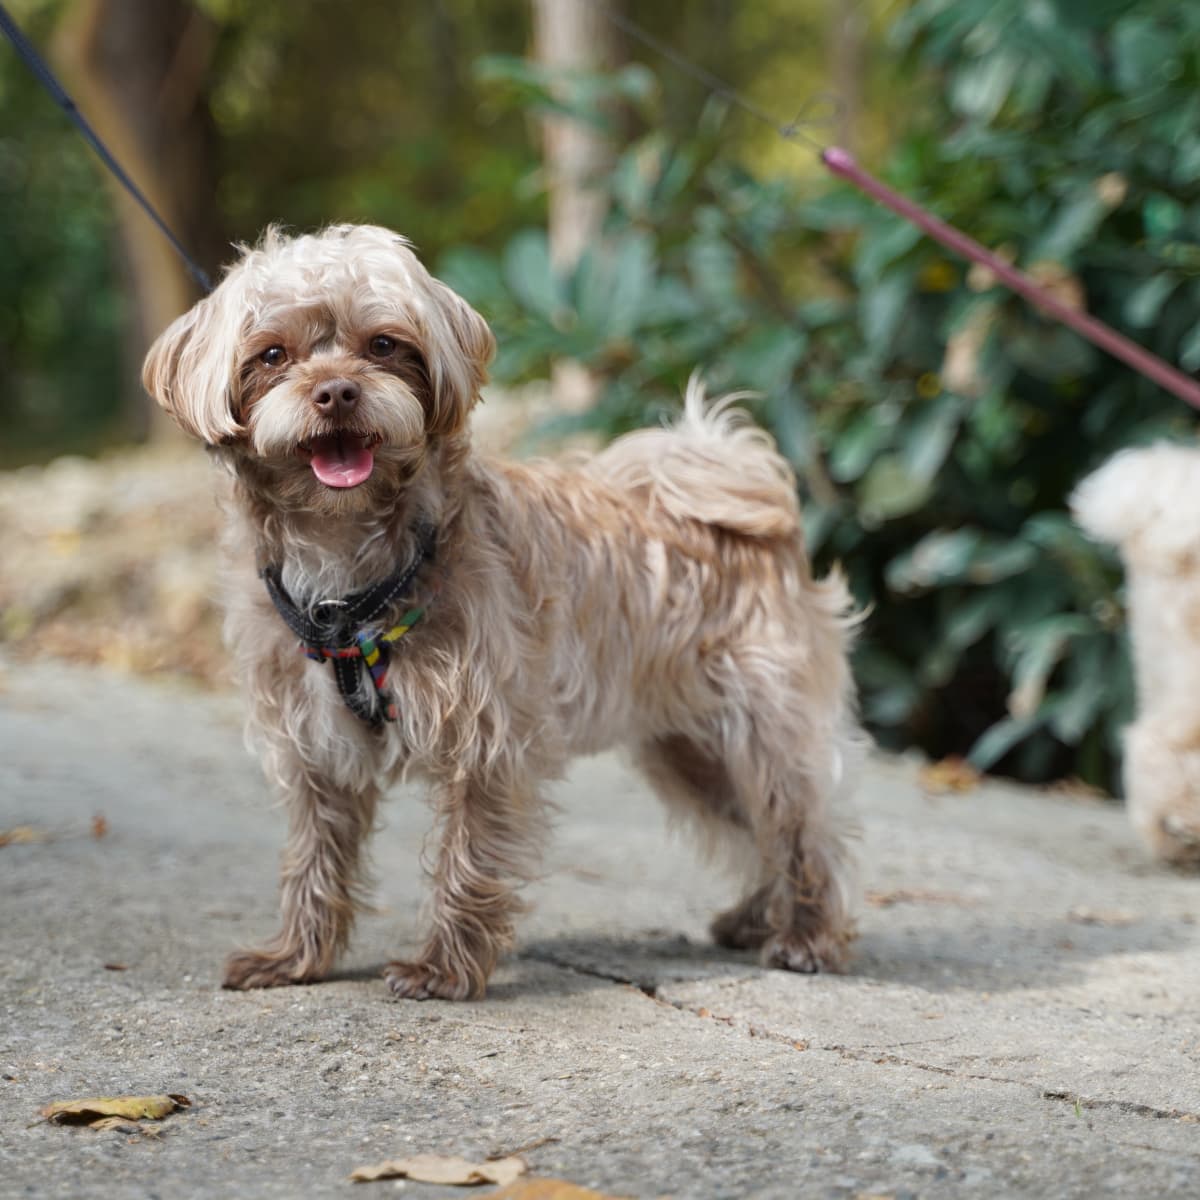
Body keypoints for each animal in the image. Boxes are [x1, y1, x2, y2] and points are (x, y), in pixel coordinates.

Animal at [142, 226, 864, 1003]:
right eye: (273, 355)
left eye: (384, 345)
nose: (336, 391)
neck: (349, 568)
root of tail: (750, 502)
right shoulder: (316, 752)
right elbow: (314, 861)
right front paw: (297, 957)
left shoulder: (484, 743)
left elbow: (468, 858)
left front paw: (442, 970)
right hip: (690, 751)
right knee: (753, 830)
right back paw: (757, 918)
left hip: (762, 731)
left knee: (800, 827)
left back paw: (806, 936)